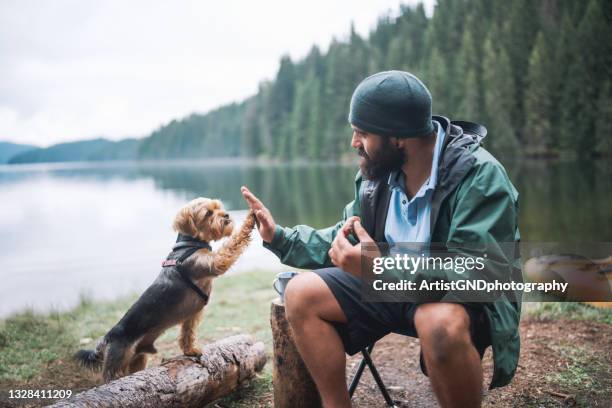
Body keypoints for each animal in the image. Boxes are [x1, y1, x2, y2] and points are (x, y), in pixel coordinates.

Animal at [74, 199, 256, 380]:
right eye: (208, 213)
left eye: (219, 207)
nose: (226, 215)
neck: (190, 244)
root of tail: (107, 338)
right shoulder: (214, 262)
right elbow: (232, 244)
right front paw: (250, 218)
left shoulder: (191, 316)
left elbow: (187, 334)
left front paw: (191, 350)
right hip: (117, 362)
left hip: (138, 359)